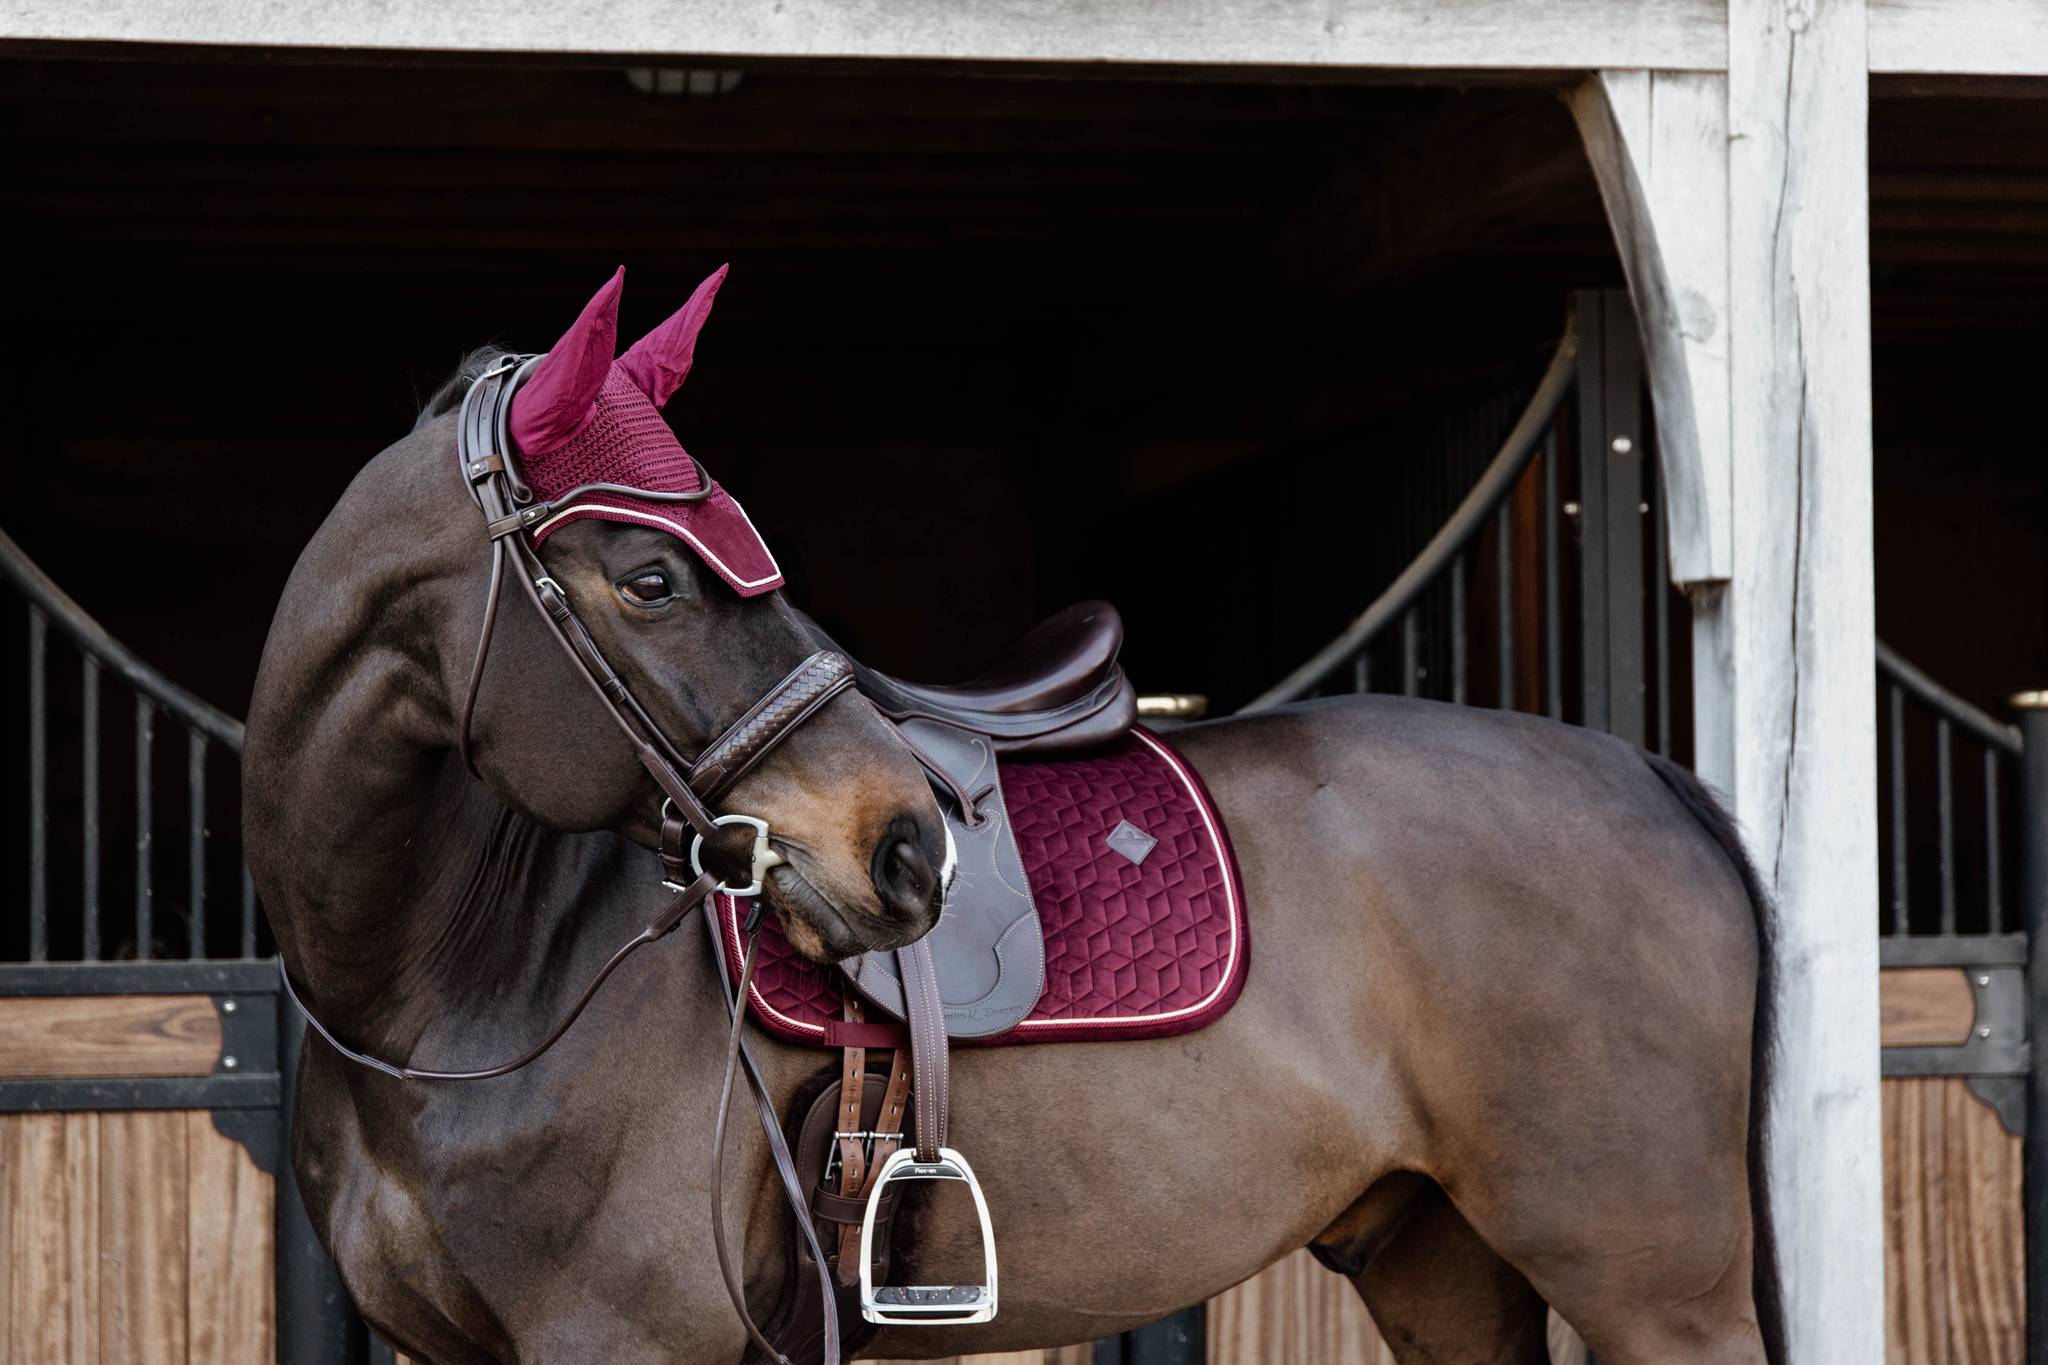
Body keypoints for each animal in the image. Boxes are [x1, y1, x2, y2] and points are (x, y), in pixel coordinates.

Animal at [239, 270, 1785, 1365]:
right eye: (651, 578)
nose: (906, 843)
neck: (456, 985)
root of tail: (1646, 774)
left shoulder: (619, 1339)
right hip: (1441, 1265)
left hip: (1654, 1290)